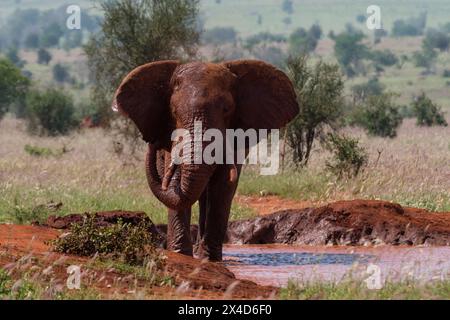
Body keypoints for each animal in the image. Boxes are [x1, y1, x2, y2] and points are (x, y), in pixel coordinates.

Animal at [112, 59, 298, 260]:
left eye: (227, 110)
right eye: (174, 111)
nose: (151, 141)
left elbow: (223, 187)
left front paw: (210, 260)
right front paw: (181, 255)